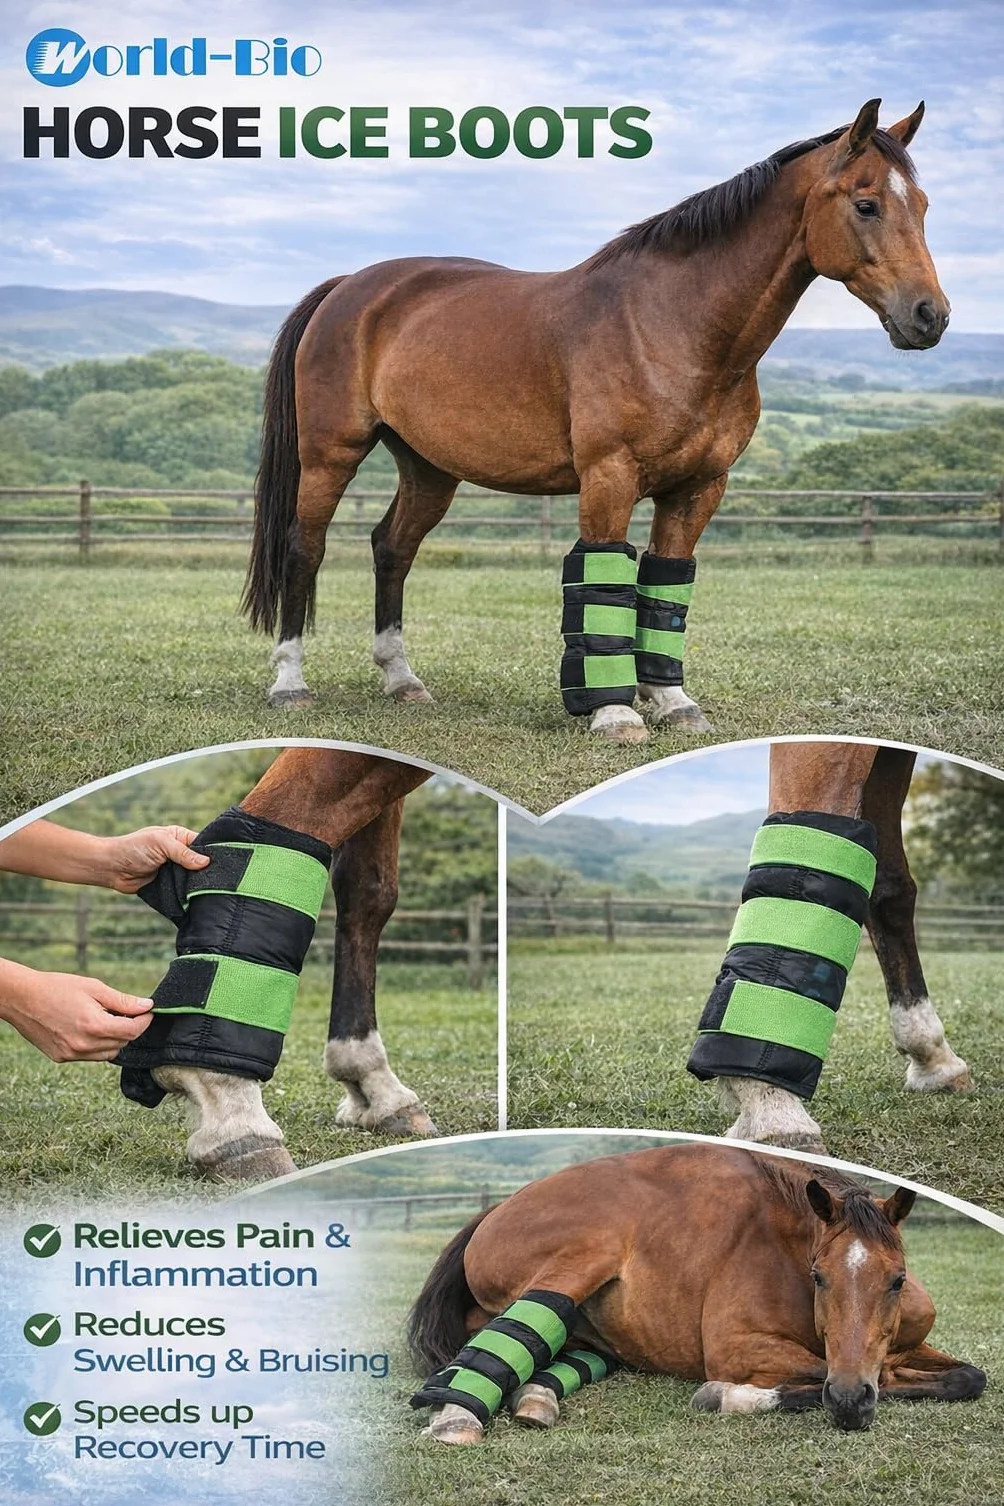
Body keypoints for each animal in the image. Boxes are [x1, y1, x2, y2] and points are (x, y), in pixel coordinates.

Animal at [242, 99, 948, 745]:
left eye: (923, 206)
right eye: (866, 205)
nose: (929, 316)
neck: (672, 323)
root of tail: (349, 286)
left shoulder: (698, 488)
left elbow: (664, 586)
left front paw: (672, 703)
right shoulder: (610, 476)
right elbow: (605, 580)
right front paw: (615, 713)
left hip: (429, 467)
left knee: (393, 548)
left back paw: (402, 679)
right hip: (331, 453)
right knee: (305, 547)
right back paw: (290, 683)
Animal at [408, 1142, 985, 1445]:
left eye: (897, 1280)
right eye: (819, 1276)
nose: (848, 1401)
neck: (790, 1243)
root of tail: (498, 1206)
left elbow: (967, 1377)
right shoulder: (738, 1349)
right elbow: (849, 1374)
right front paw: (729, 1396)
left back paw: (536, 1394)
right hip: (584, 1251)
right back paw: (457, 1412)